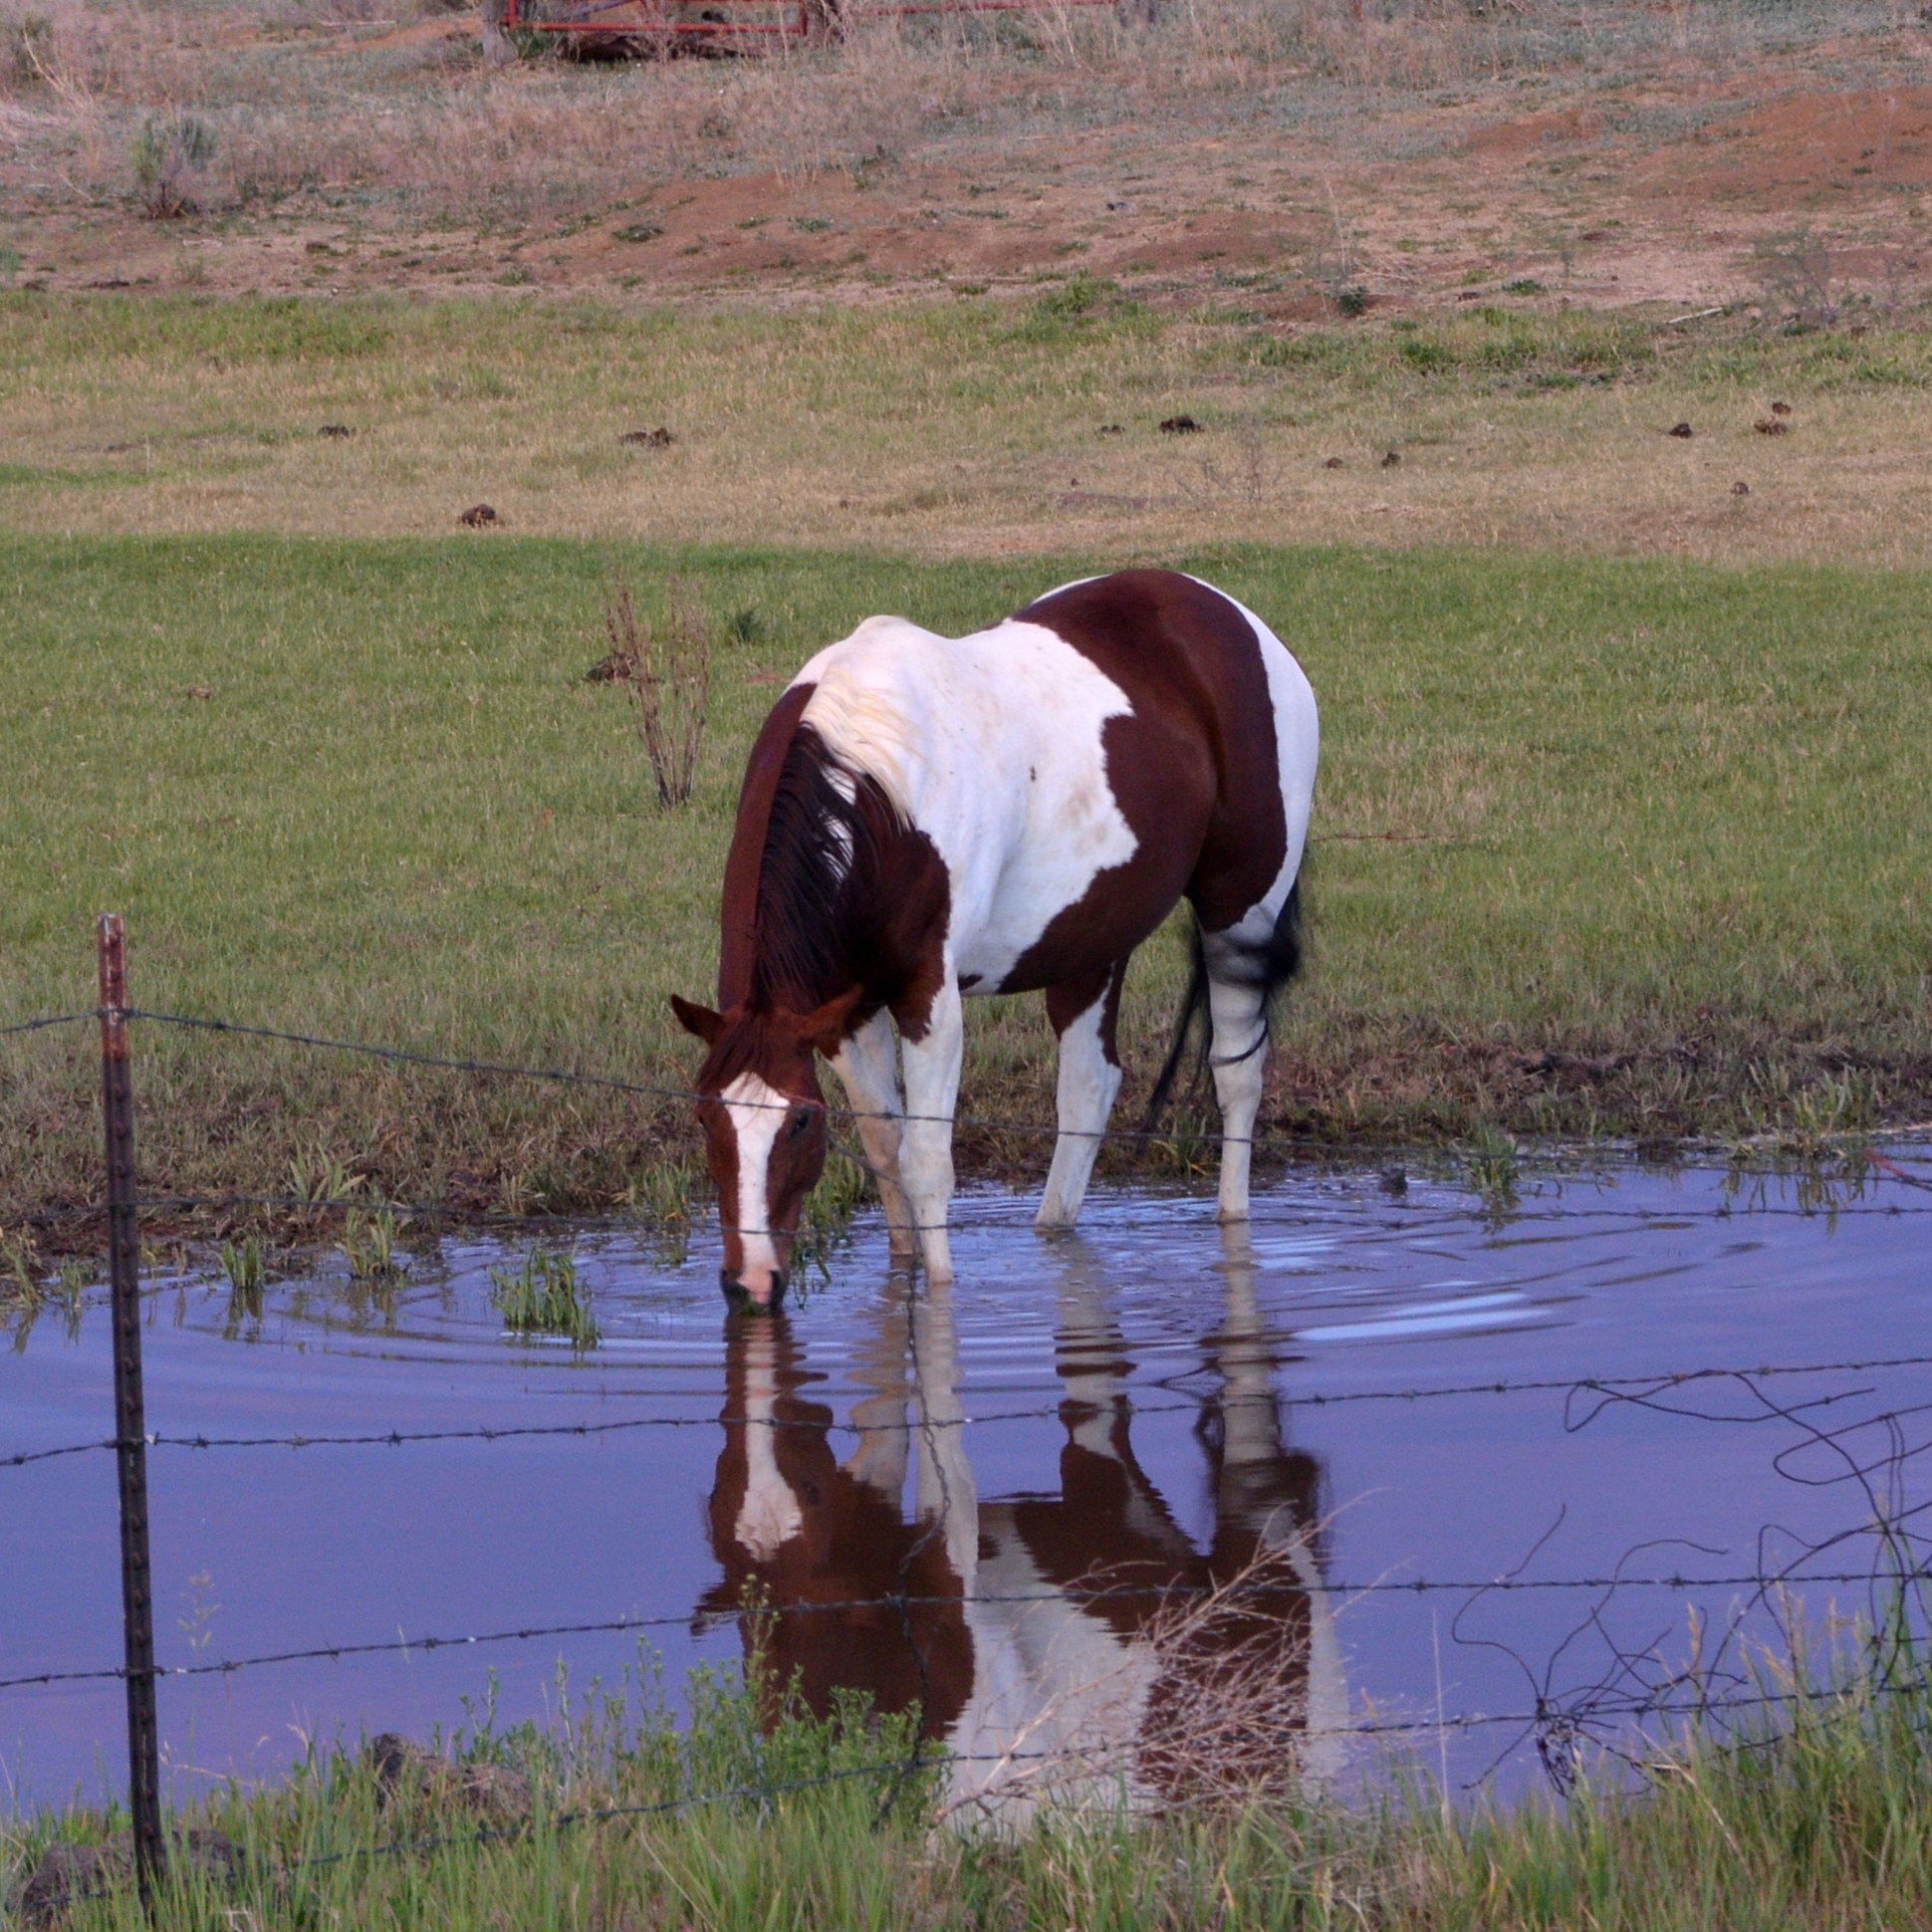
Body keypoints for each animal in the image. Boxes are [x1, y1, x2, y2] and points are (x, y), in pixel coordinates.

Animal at [672, 564, 1321, 1306]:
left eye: (799, 1121)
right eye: (705, 1116)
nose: (750, 1283)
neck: (872, 779)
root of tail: (1231, 617)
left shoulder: (927, 996)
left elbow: (926, 1163)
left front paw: (939, 1298)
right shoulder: (840, 1013)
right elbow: (885, 1149)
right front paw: (901, 1281)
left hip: (1240, 917)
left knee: (1236, 1075)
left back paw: (1232, 1222)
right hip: (1089, 938)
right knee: (1088, 1088)